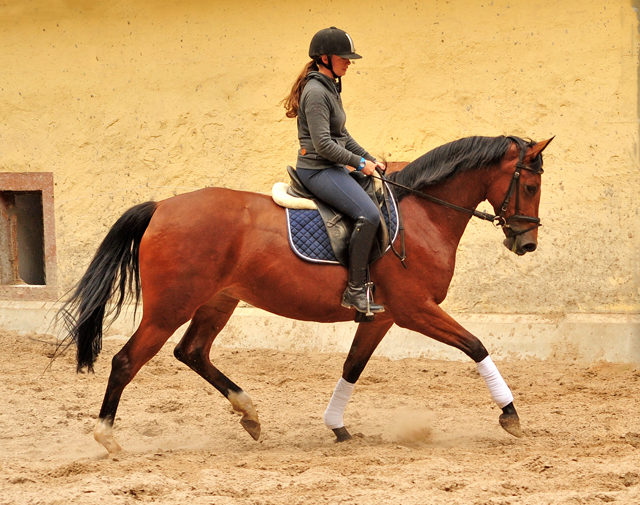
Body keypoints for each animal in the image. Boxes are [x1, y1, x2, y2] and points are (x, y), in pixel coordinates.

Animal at [57, 134, 552, 452]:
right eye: (529, 185)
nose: (526, 244)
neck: (422, 214)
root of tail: (162, 207)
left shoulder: (383, 315)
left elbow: (353, 367)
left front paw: (337, 427)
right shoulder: (415, 310)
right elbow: (476, 345)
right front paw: (510, 416)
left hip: (218, 301)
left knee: (192, 351)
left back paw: (250, 413)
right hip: (170, 307)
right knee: (127, 360)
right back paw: (107, 437)